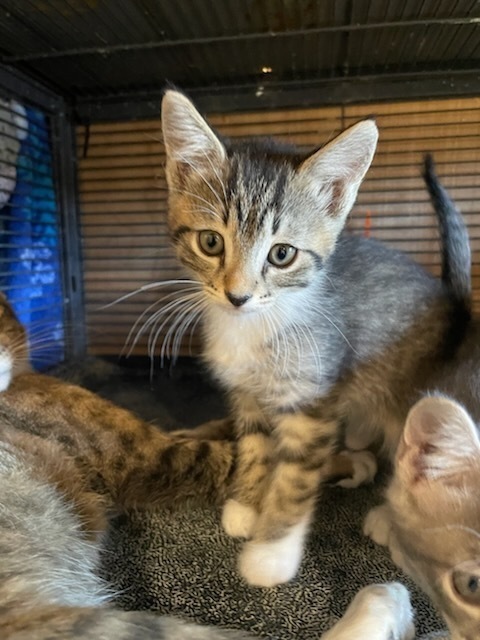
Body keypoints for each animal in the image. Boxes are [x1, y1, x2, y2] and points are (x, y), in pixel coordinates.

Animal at [0, 296, 416, 640]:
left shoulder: (168, 436)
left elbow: (220, 426)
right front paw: (347, 457)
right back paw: (386, 602)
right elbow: (255, 458)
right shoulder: (146, 455)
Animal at [161, 91, 468, 592]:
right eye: (210, 242)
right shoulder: (247, 396)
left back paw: (388, 518)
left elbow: (294, 477)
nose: (237, 296)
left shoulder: (314, 401)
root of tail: (458, 305)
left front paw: (270, 554)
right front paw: (245, 504)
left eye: (282, 254)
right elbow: (254, 447)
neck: (256, 326)